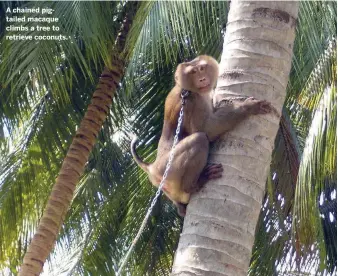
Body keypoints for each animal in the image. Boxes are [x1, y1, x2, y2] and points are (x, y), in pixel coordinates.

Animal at [131, 55, 274, 216]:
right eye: (193, 72)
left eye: (201, 68)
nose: (201, 78)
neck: (188, 89)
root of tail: (152, 167)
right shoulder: (192, 100)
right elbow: (207, 130)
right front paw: (247, 107)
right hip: (167, 168)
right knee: (199, 139)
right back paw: (193, 184)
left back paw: (180, 206)